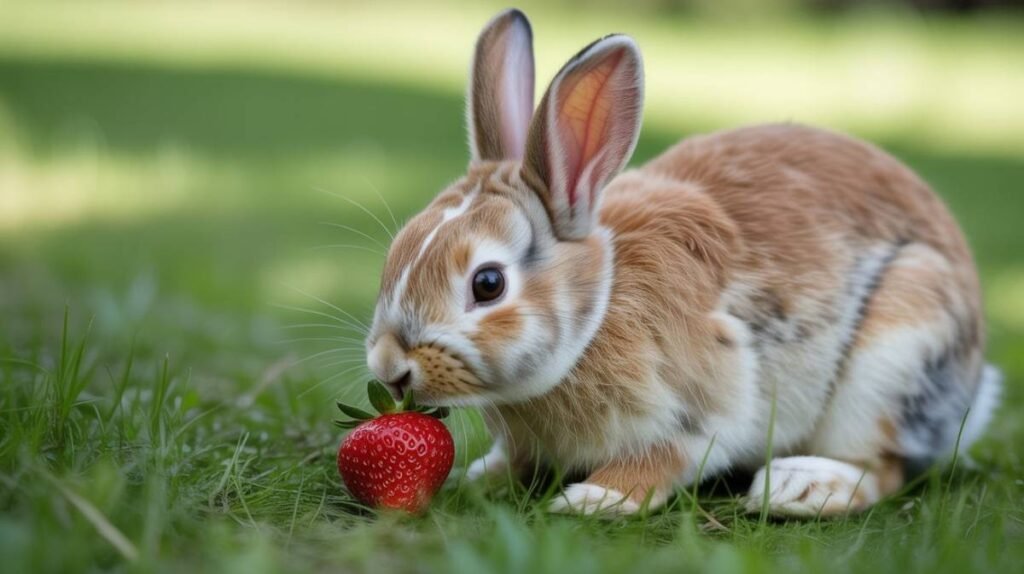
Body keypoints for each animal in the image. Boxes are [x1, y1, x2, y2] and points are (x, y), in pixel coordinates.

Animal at [363, 8, 1001, 516]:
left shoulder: (706, 406)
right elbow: (513, 459)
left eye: (488, 283)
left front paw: (595, 499)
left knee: (886, 465)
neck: (598, 309)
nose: (389, 368)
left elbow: (662, 460)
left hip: (894, 356)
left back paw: (801, 489)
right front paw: (480, 478)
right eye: (396, 254)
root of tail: (975, 384)